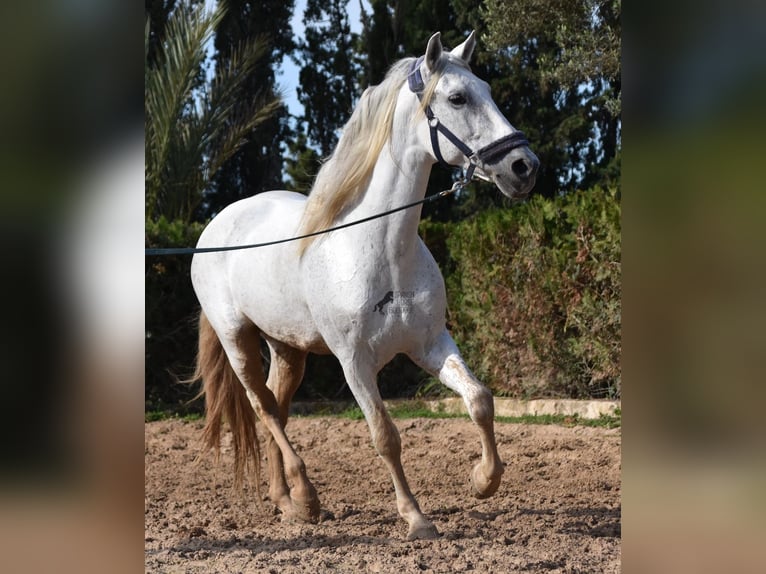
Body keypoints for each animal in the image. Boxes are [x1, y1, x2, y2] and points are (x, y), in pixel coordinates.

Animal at [192, 32, 540, 544]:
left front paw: (483, 481)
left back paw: (287, 502)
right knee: (264, 408)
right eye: (457, 98)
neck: (382, 252)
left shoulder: (431, 344)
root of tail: (215, 228)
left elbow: (479, 400)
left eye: (489, 90)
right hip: (238, 341)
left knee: (277, 404)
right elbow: (385, 436)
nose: (523, 167)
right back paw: (307, 497)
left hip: (288, 349)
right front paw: (416, 518)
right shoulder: (354, 363)